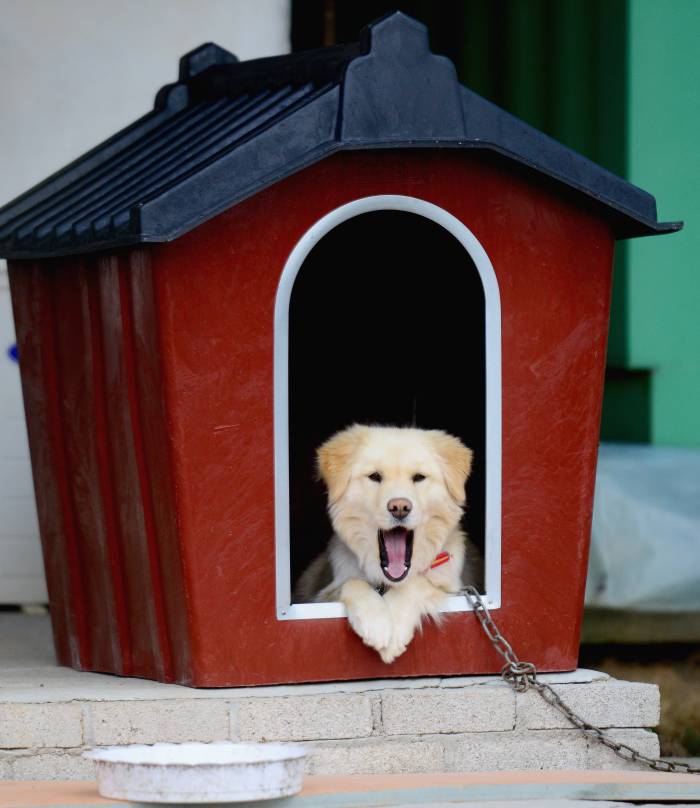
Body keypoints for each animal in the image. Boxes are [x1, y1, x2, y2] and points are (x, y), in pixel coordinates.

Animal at [294, 422, 482, 664]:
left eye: (419, 477)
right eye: (375, 476)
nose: (399, 507)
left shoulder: (454, 587)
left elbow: (415, 583)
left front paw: (395, 629)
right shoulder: (325, 593)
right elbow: (353, 582)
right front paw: (376, 623)